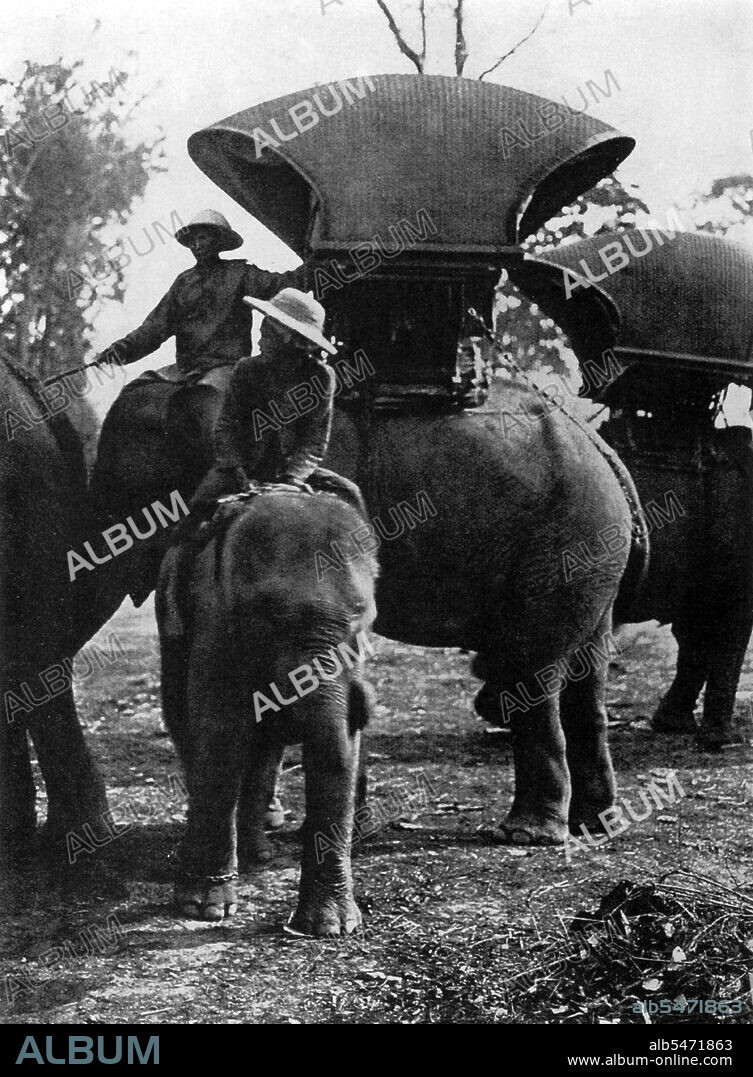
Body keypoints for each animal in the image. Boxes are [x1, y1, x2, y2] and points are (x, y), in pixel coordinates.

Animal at [155, 488, 377, 934]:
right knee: (190, 730)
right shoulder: (215, 623)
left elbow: (338, 746)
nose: (365, 701)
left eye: (361, 624)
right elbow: (221, 729)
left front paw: (330, 928)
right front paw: (204, 909)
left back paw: (258, 855)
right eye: (269, 615)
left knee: (263, 751)